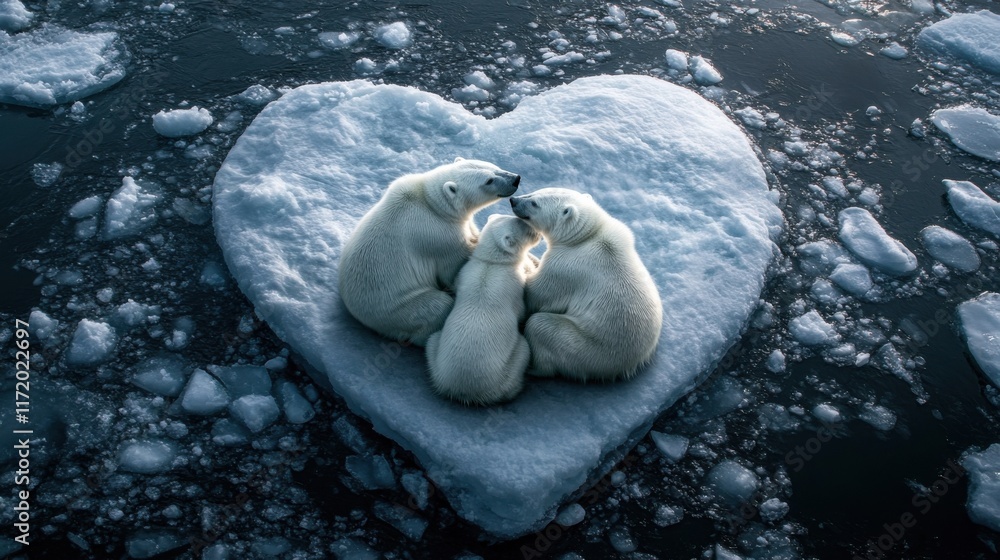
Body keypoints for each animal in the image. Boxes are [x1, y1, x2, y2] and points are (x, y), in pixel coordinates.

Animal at [339, 158, 521, 346]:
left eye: (494, 167)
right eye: (488, 181)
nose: (516, 179)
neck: (431, 203)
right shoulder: (439, 236)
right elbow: (453, 269)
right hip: (400, 309)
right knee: (437, 307)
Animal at [425, 214, 541, 405]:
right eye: (527, 228)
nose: (540, 234)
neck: (491, 262)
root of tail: (466, 393)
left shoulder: (464, 271)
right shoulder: (515, 284)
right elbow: (522, 309)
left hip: (436, 358)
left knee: (431, 341)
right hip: (508, 370)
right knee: (523, 352)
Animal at [510, 187, 663, 382]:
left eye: (535, 203)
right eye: (535, 192)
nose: (513, 200)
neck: (588, 236)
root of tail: (629, 365)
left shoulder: (565, 266)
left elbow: (537, 295)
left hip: (583, 348)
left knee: (541, 326)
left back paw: (533, 369)